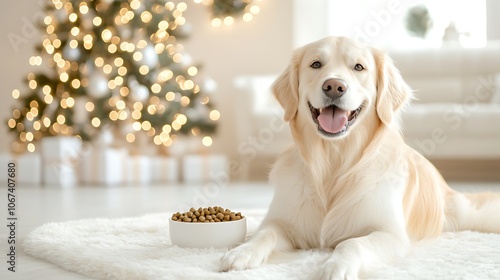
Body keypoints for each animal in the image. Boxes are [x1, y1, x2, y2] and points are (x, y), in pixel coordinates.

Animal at [221, 36, 500, 278]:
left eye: (358, 67)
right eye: (316, 64)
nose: (334, 86)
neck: (334, 160)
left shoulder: (390, 234)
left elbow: (352, 244)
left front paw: (335, 267)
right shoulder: (282, 223)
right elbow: (263, 234)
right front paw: (242, 252)